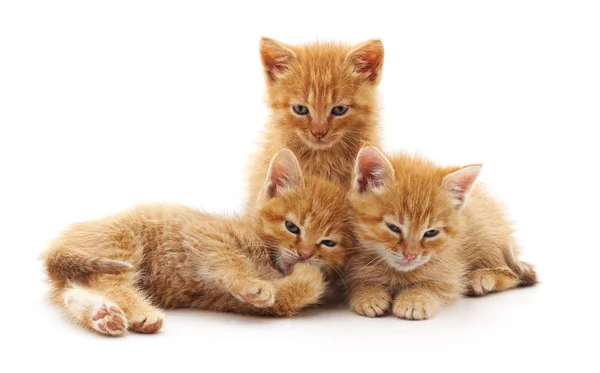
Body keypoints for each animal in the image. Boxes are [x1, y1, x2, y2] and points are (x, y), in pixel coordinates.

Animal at [42, 150, 352, 336]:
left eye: (328, 243)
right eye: (292, 227)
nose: (304, 253)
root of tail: (56, 245)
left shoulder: (230, 300)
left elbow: (289, 296)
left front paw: (307, 275)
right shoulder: (205, 234)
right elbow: (230, 259)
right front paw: (251, 282)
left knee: (75, 291)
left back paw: (103, 316)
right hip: (121, 243)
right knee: (111, 283)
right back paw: (137, 313)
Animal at [344, 147, 536, 318]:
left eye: (431, 233)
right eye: (393, 228)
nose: (411, 255)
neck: (397, 272)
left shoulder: (451, 268)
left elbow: (437, 284)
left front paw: (414, 299)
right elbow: (357, 281)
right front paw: (368, 293)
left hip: (486, 232)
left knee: (512, 273)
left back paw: (482, 278)